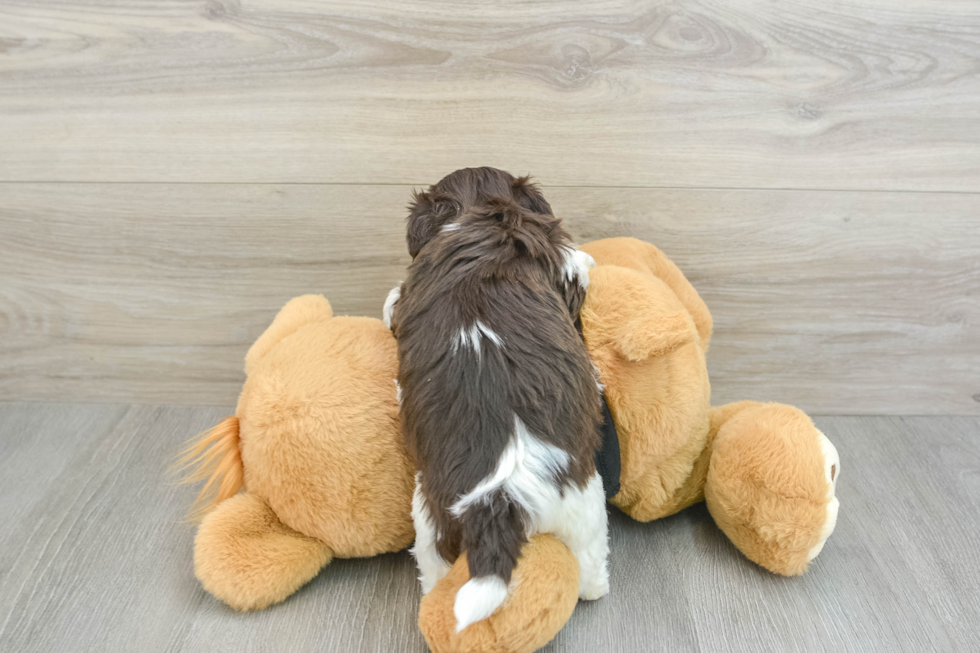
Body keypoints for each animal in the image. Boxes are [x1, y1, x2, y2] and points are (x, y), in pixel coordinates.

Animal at [380, 168, 604, 632]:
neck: (479, 210)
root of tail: (500, 495)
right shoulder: (559, 263)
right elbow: (578, 267)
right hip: (583, 504)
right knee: (591, 565)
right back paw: (596, 588)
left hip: (434, 517)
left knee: (435, 565)